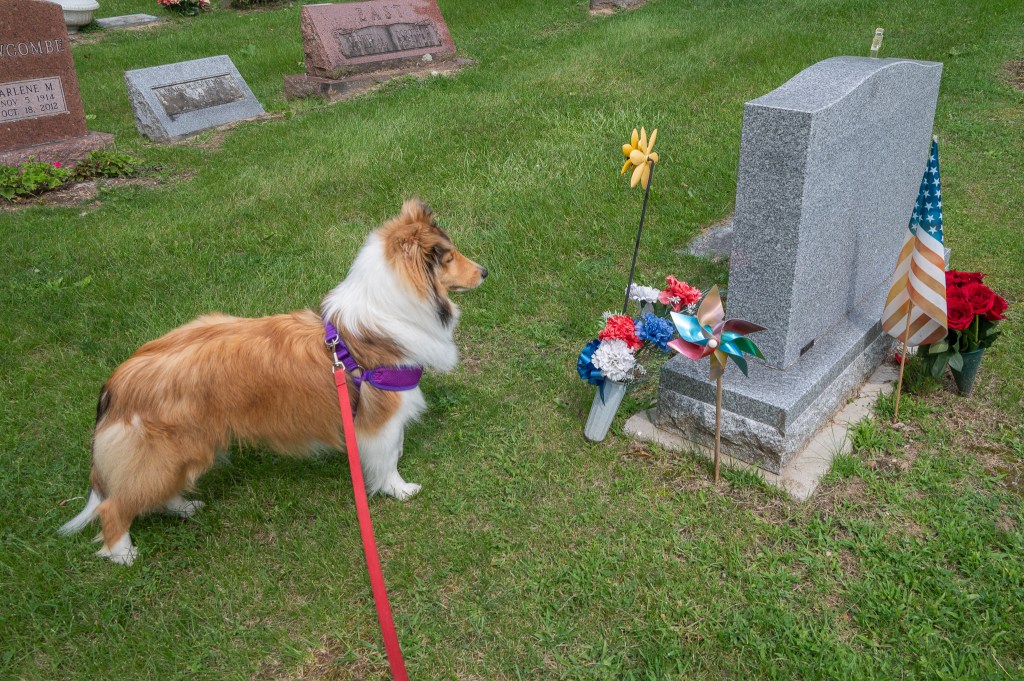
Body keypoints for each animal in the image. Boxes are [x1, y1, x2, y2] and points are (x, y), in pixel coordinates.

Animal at [59, 199, 487, 565]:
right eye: (448, 256)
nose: (485, 271)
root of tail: (118, 381)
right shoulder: (381, 418)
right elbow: (389, 457)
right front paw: (399, 491)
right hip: (166, 454)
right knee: (113, 507)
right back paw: (124, 554)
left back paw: (184, 507)